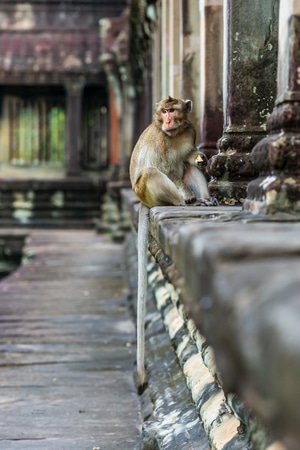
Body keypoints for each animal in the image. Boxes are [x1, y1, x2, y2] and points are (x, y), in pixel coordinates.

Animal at [129, 96, 216, 386]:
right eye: (163, 111)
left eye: (173, 111)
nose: (167, 120)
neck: (174, 134)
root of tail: (142, 202)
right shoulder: (161, 141)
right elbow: (167, 168)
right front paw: (189, 197)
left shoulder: (189, 131)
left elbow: (189, 157)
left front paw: (201, 157)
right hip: (147, 192)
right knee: (152, 173)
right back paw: (187, 202)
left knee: (188, 167)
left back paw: (205, 200)